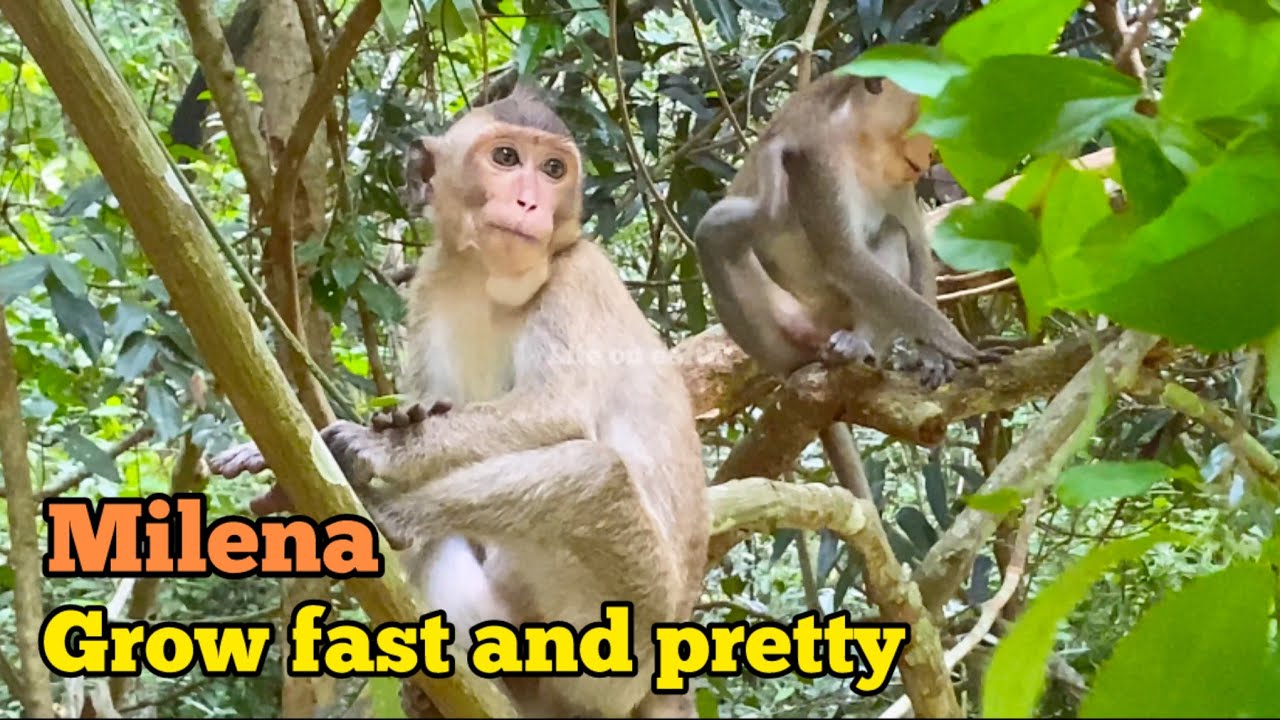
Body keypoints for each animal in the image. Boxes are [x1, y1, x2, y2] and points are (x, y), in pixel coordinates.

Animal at [209, 84, 710, 719]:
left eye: (553, 169)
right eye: (506, 158)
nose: (529, 201)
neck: (486, 281)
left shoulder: (579, 277)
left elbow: (558, 411)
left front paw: (375, 447)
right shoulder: (432, 283)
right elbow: (435, 401)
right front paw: (389, 425)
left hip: (626, 629)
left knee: (596, 475)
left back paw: (389, 513)